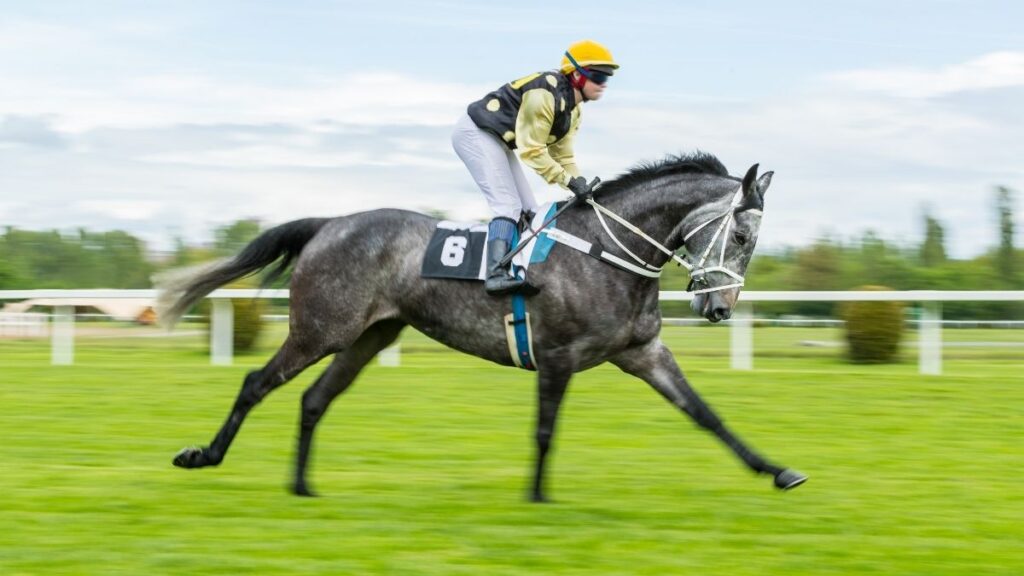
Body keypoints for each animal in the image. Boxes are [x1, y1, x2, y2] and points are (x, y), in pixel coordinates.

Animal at [158, 151, 807, 500]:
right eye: (741, 234)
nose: (720, 308)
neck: (607, 252)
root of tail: (330, 223)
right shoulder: (559, 356)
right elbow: (545, 431)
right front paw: (539, 496)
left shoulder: (643, 352)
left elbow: (706, 414)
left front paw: (778, 471)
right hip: (321, 329)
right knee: (256, 384)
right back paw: (203, 456)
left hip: (370, 336)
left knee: (314, 400)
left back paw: (302, 486)